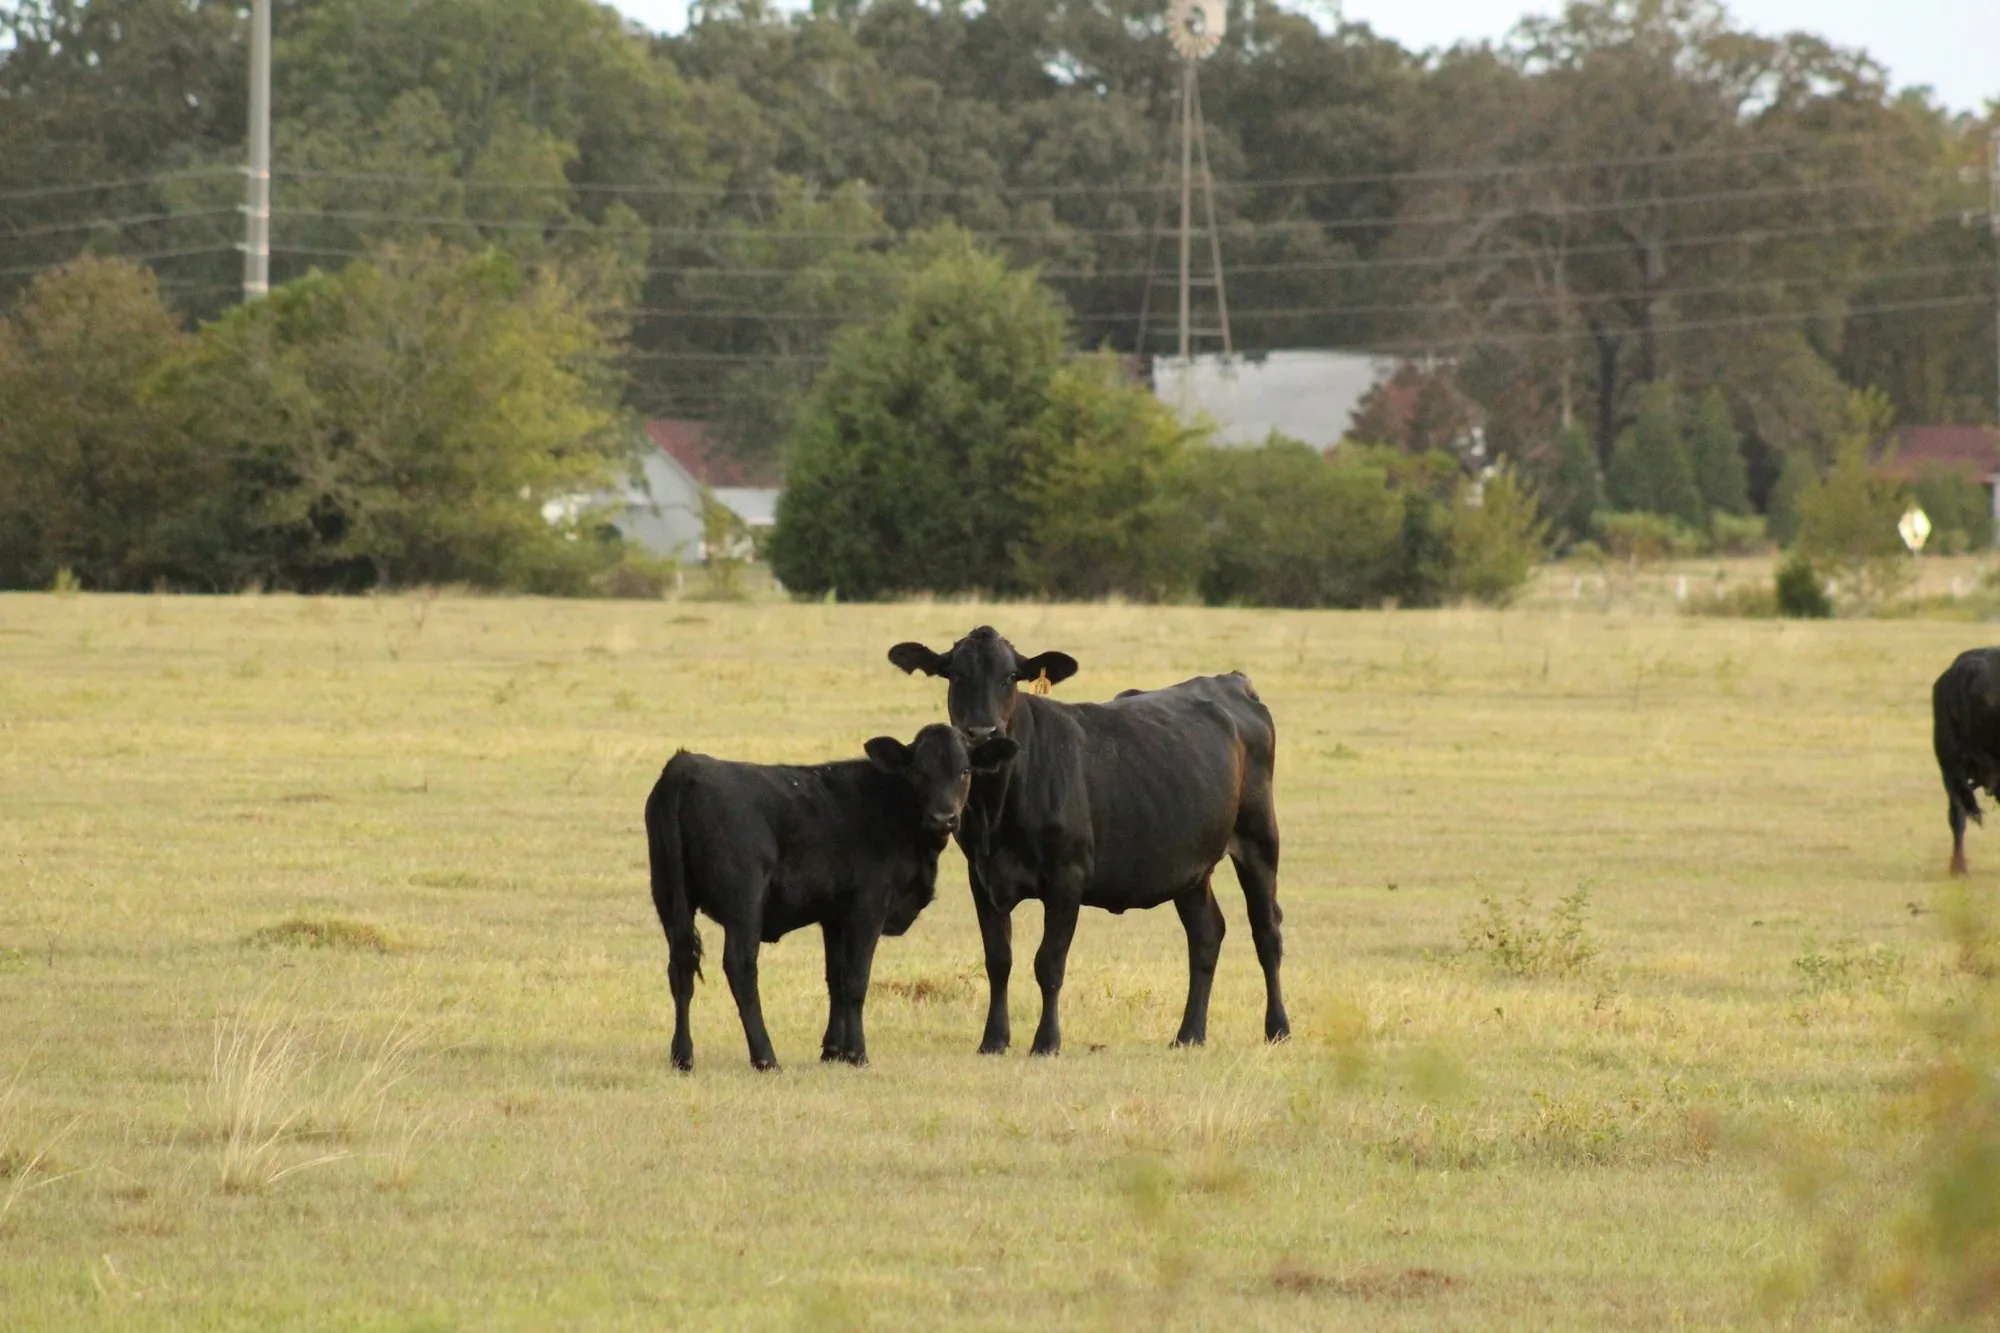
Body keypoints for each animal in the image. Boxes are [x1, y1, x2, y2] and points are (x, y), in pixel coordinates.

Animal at [645, 723, 1016, 1071]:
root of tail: (684, 767)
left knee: (680, 968)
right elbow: (855, 979)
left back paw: (682, 1056)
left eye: (964, 771)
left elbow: (835, 977)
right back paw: (765, 1057)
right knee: (740, 967)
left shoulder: (834, 917)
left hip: (669, 898)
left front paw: (833, 1050)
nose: (944, 818)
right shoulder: (867, 910)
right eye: (917, 771)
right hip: (744, 904)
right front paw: (857, 1053)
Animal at [887, 625, 1289, 1056]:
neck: (998, 809)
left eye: (1010, 677)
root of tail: (1231, 681)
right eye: (956, 674)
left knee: (1266, 931)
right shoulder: (980, 875)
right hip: (1192, 867)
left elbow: (1049, 962)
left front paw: (1046, 1042)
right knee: (1206, 935)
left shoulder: (1068, 876)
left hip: (1259, 838)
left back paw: (1277, 1028)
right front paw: (993, 1040)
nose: (981, 732)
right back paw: (1189, 1034)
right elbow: (998, 960)